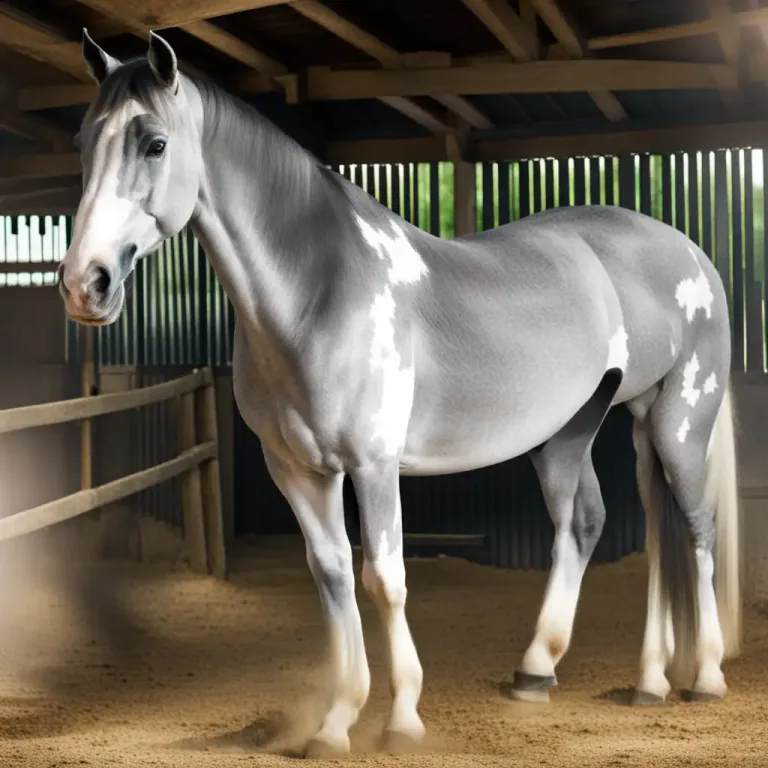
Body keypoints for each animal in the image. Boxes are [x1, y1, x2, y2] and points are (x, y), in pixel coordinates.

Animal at [57, 29, 741, 757]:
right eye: (83, 139)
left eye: (155, 143)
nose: (84, 284)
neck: (319, 292)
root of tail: (690, 252)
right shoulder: (296, 470)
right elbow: (331, 574)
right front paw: (335, 722)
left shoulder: (374, 465)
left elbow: (384, 578)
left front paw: (403, 718)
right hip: (582, 430)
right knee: (602, 526)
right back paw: (592, 676)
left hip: (678, 421)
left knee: (695, 527)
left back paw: (703, 676)